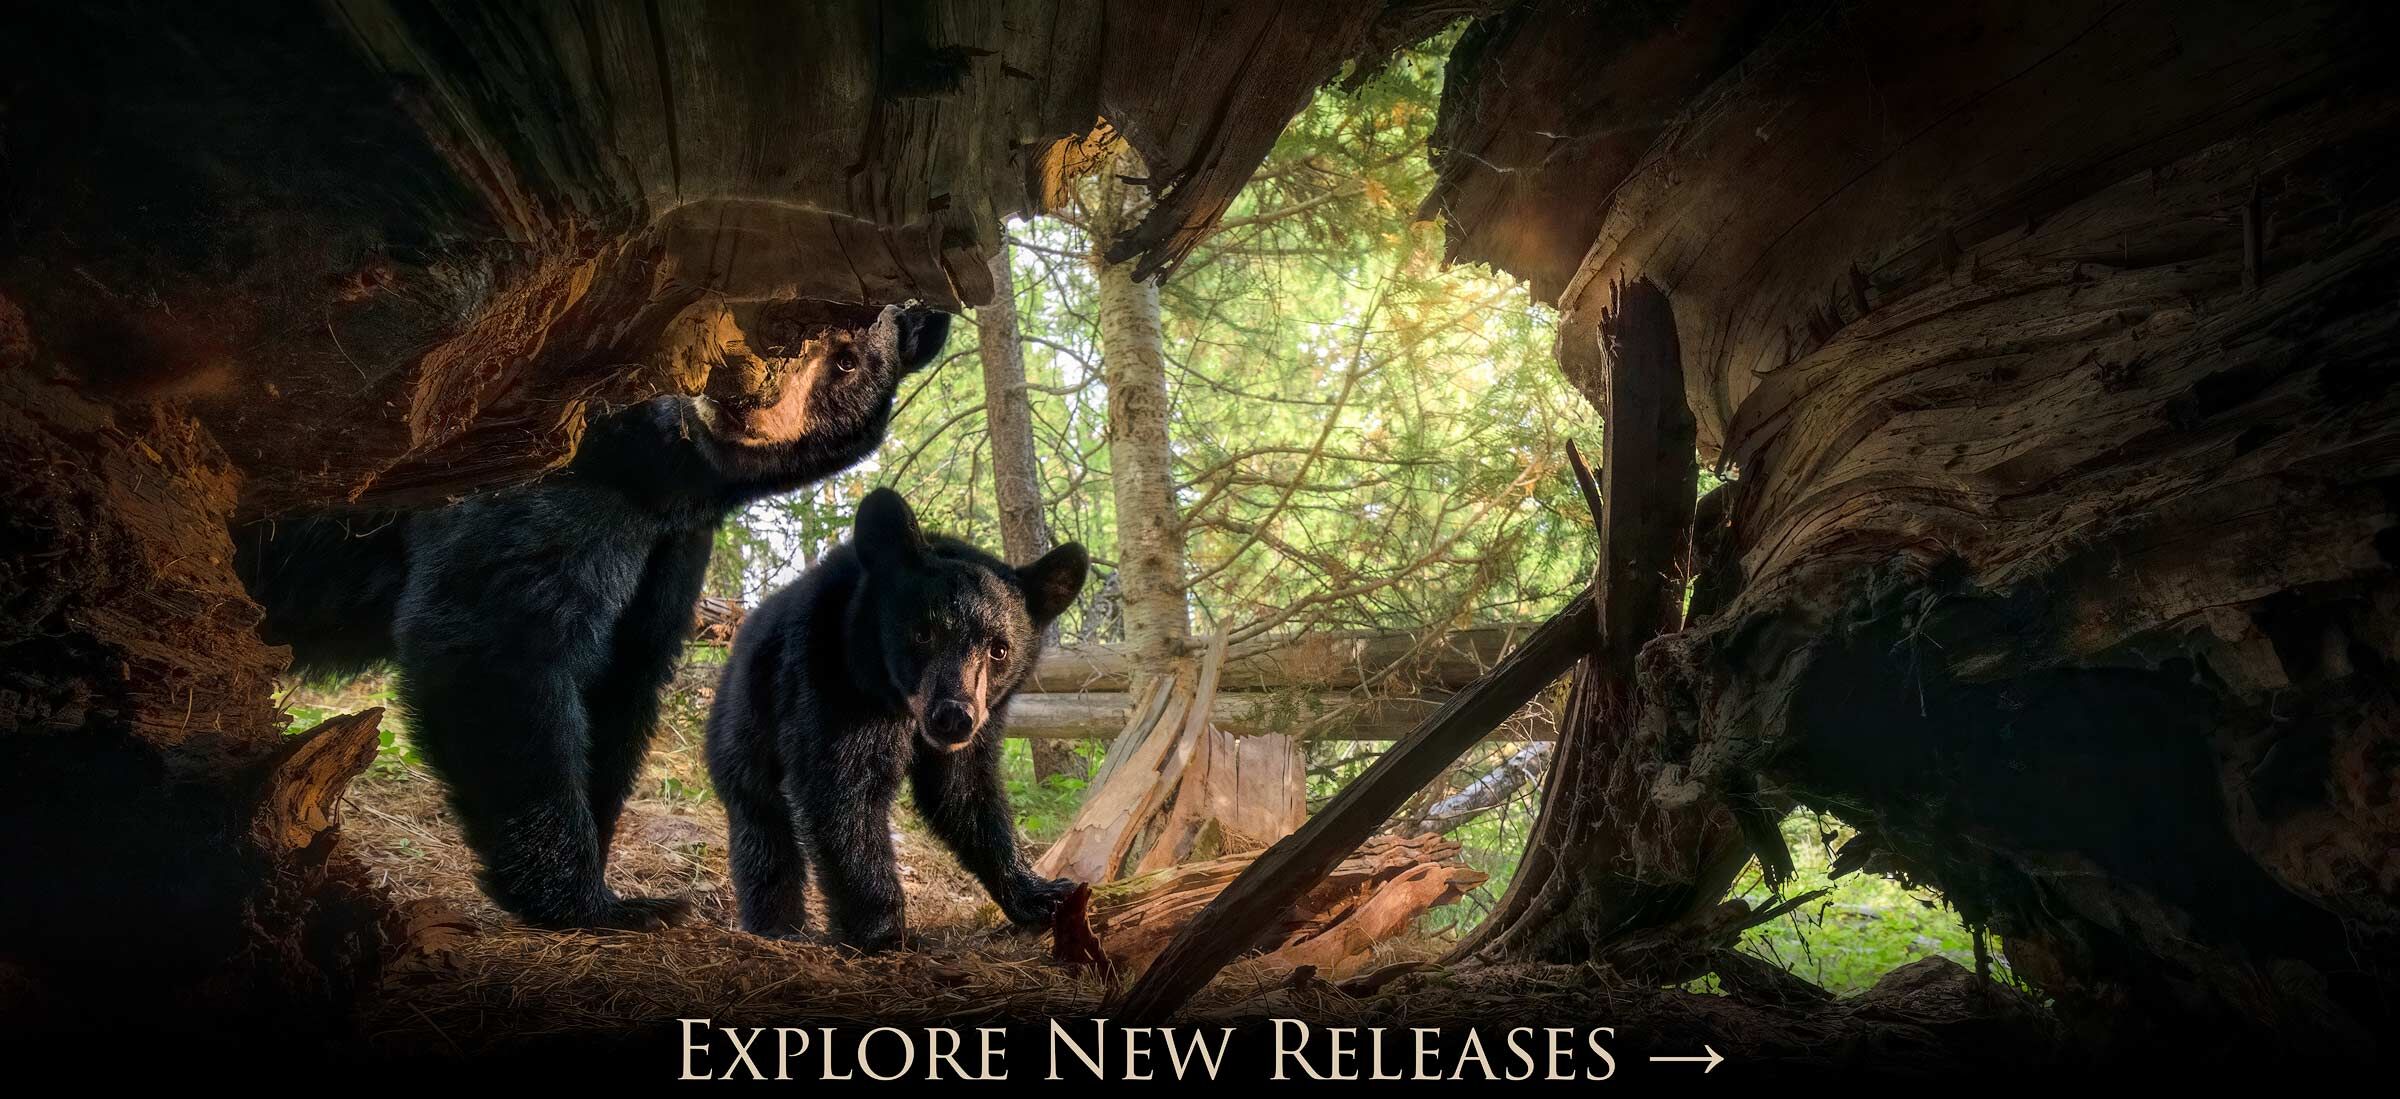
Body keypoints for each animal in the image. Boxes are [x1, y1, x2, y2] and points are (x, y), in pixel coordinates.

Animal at [234, 302, 950, 930]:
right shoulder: (540, 471)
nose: (744, 394)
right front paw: (585, 900)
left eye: (847, 360)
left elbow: (622, 679)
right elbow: (501, 633)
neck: (659, 466)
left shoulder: (669, 543)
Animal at [705, 488, 1087, 950]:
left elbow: (965, 793)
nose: (953, 716)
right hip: (743, 729)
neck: (896, 702)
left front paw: (1040, 892)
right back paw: (777, 924)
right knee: (762, 828)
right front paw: (882, 931)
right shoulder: (829, 680)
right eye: (923, 633)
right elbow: (840, 791)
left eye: (999, 649)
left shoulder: (985, 719)